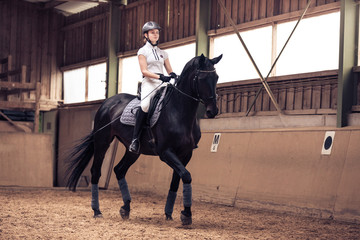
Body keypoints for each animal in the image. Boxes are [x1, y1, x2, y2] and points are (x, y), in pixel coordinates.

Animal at [65, 54, 221, 225]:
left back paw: (125, 208)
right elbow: (186, 176)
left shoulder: (186, 154)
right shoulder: (165, 152)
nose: (213, 111)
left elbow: (178, 180)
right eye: (202, 78)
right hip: (102, 142)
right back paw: (97, 211)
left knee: (119, 169)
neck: (178, 113)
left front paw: (170, 214)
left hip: (133, 151)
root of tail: (107, 102)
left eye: (216, 77)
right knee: (96, 171)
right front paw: (186, 215)